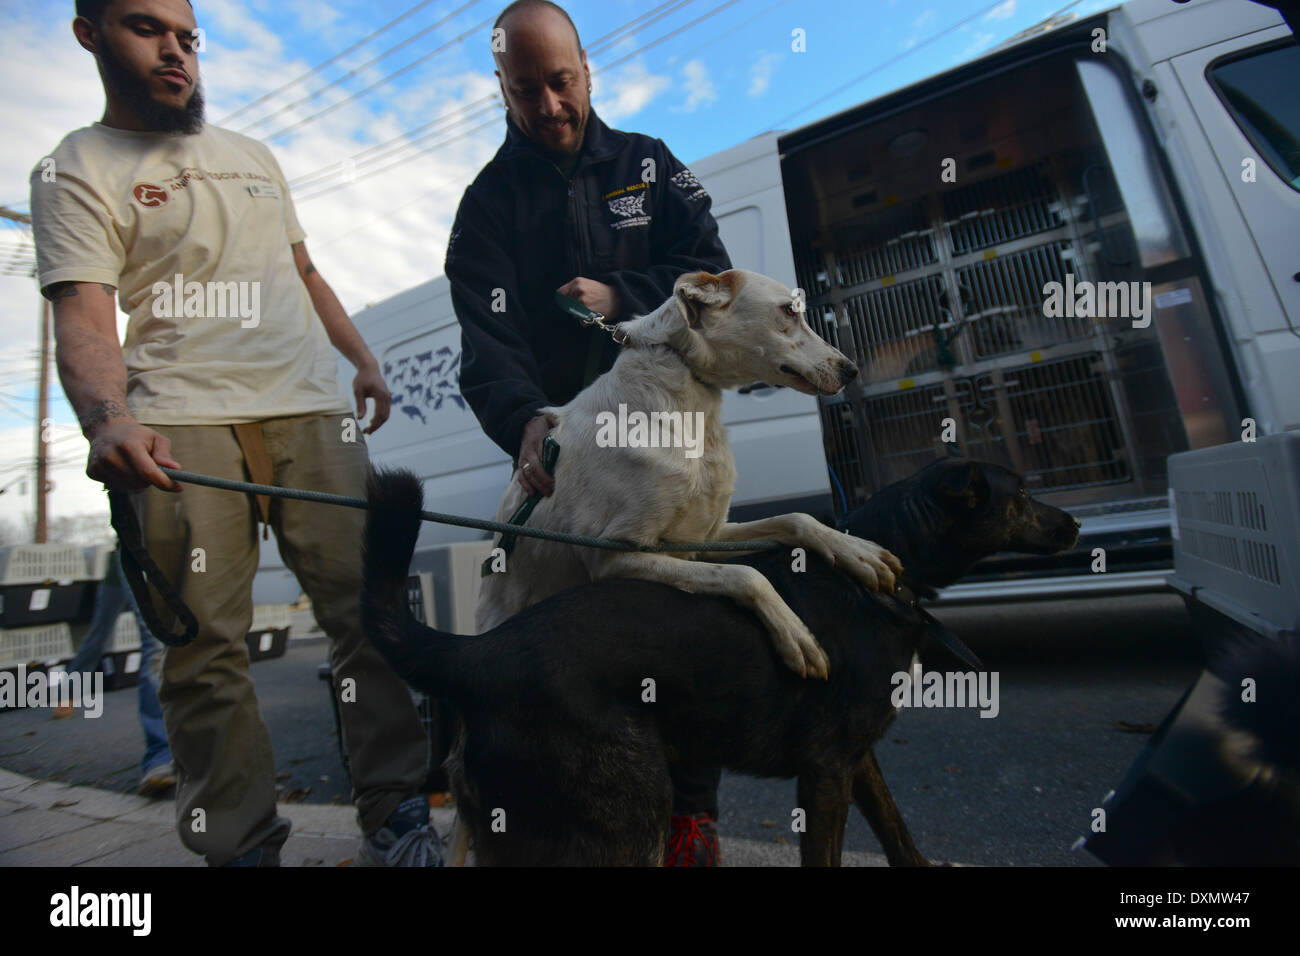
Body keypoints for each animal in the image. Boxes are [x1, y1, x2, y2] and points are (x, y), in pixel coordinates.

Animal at [364, 460, 1076, 863]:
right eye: (1022, 494)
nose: (1072, 524)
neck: (876, 577)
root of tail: (477, 652)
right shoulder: (825, 773)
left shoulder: (858, 761)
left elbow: (899, 837)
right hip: (627, 817)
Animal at [480, 269, 904, 681]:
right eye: (788, 311)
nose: (851, 370)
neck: (688, 408)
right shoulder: (616, 556)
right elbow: (748, 575)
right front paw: (796, 636)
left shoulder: (705, 537)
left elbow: (797, 518)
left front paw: (858, 553)